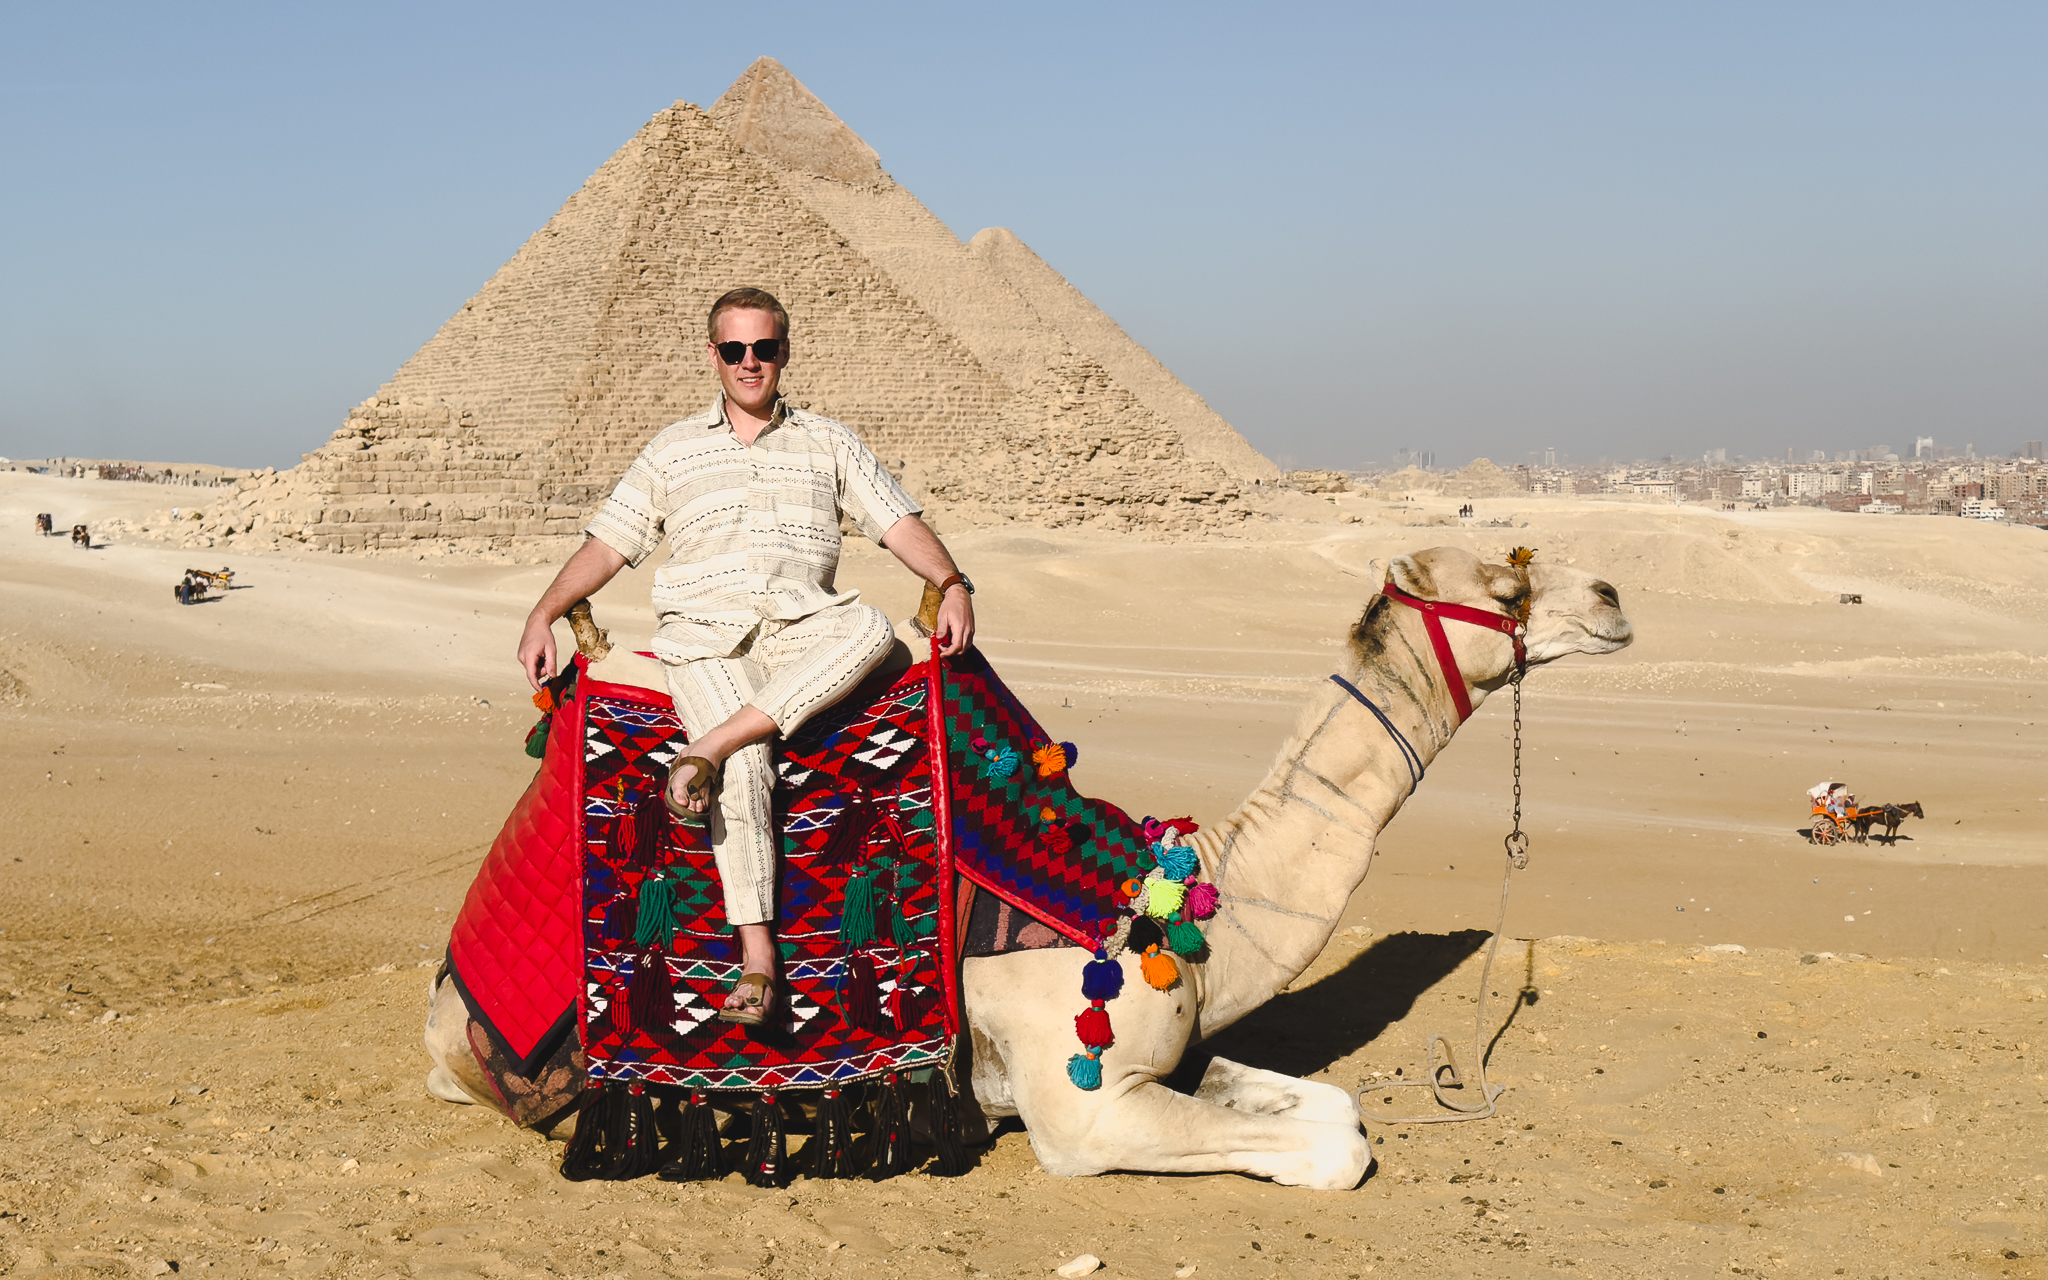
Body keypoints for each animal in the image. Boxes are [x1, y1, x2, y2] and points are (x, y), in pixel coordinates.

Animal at [423, 544, 1638, 1179]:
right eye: (1506, 584)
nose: (1615, 597)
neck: (1175, 904)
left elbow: (1326, 1106)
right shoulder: (1080, 1110)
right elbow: (1336, 1149)